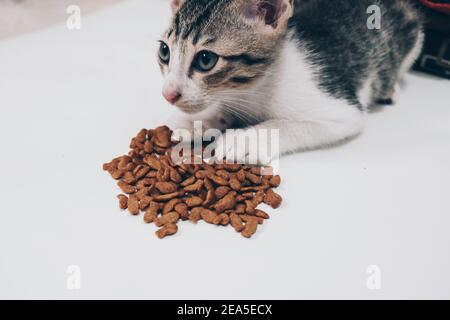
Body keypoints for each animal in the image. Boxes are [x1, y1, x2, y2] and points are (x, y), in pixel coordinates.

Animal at [156, 0, 424, 161]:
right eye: (164, 51)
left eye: (205, 59)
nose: (168, 94)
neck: (254, 87)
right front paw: (197, 120)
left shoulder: (343, 109)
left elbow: (286, 124)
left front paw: (244, 139)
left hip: (413, 38)